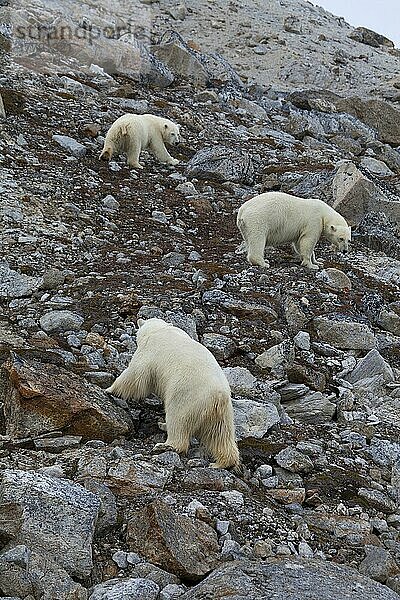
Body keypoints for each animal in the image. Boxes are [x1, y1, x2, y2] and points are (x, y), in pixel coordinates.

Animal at [105, 316, 241, 472]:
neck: (159, 329)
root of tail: (218, 395)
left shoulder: (149, 351)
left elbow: (136, 375)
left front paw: (109, 389)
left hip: (185, 396)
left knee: (177, 420)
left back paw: (165, 443)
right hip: (223, 413)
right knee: (220, 434)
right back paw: (221, 463)